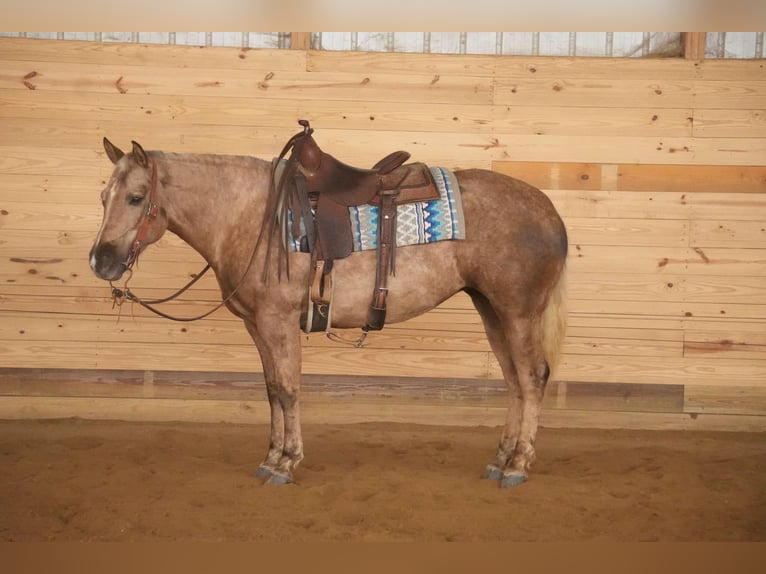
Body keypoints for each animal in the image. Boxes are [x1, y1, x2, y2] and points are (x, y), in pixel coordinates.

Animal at [90, 132, 568, 490]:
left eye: (136, 198)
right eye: (103, 197)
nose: (100, 260)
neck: (249, 216)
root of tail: (548, 210)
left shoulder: (278, 320)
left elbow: (288, 389)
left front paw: (286, 463)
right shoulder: (257, 325)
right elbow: (271, 390)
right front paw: (271, 458)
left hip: (517, 311)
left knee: (531, 377)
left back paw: (517, 465)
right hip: (491, 309)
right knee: (513, 381)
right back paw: (500, 458)